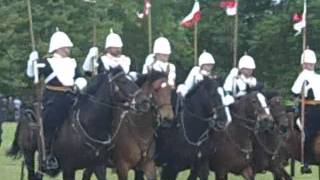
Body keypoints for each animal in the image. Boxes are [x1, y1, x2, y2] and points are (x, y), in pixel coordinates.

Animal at [7, 67, 148, 179]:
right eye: (123, 81)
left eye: (133, 80)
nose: (144, 101)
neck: (89, 125)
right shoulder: (68, 168)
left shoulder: (96, 165)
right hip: (28, 154)